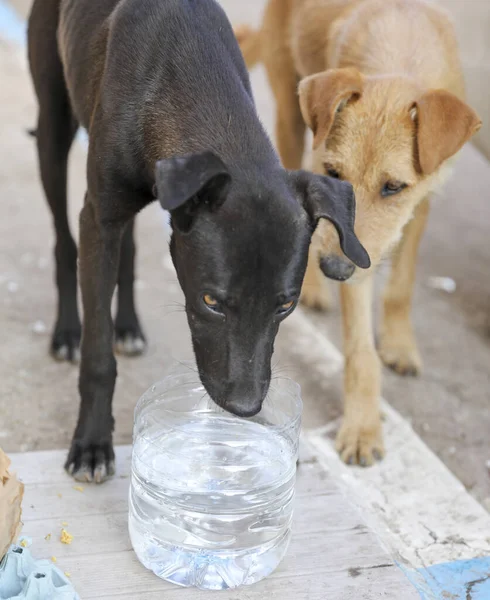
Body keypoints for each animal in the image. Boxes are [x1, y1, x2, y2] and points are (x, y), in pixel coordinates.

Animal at [28, 0, 370, 480]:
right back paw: (66, 333)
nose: (245, 408)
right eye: (212, 301)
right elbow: (98, 354)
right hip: (53, 128)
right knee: (63, 239)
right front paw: (92, 444)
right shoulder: (99, 219)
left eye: (286, 305)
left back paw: (128, 326)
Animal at [235, 0, 480, 464]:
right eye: (337, 174)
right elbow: (359, 351)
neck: (401, 51)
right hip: (293, 118)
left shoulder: (421, 201)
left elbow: (401, 284)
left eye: (394, 187)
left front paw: (399, 343)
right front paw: (364, 426)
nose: (333, 269)